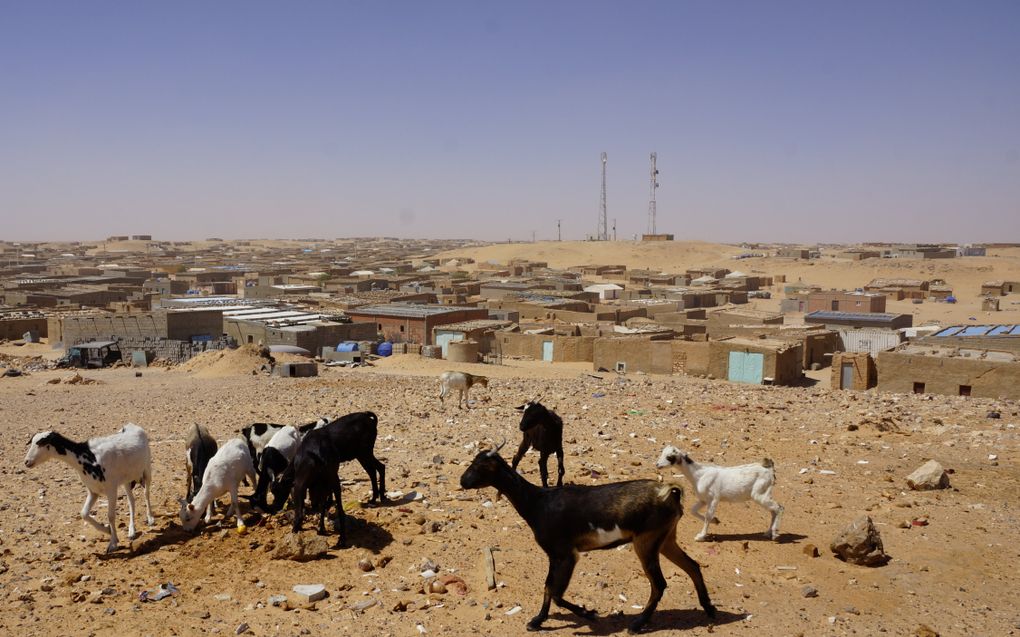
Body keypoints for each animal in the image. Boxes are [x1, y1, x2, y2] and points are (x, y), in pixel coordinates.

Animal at [24, 423, 153, 554]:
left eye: (42, 443)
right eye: (32, 442)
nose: (27, 462)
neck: (88, 457)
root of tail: (131, 425)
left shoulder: (111, 489)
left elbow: (110, 516)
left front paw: (113, 543)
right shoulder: (93, 491)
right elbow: (84, 514)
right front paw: (108, 530)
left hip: (147, 469)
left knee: (146, 493)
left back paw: (150, 518)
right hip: (127, 479)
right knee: (131, 501)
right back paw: (132, 531)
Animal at [275, 411, 385, 546]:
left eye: (277, 491)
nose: (276, 507)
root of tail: (369, 418)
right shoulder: (326, 481)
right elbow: (326, 499)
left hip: (363, 453)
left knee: (374, 470)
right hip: (362, 455)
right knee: (378, 469)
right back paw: (378, 498)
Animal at [459, 440, 714, 631]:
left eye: (480, 466)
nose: (462, 481)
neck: (538, 503)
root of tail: (670, 493)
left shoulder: (565, 554)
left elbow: (555, 592)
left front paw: (587, 613)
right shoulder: (554, 555)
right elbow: (548, 587)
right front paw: (538, 620)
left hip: (646, 540)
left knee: (659, 584)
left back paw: (638, 623)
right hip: (666, 538)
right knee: (692, 566)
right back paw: (709, 608)